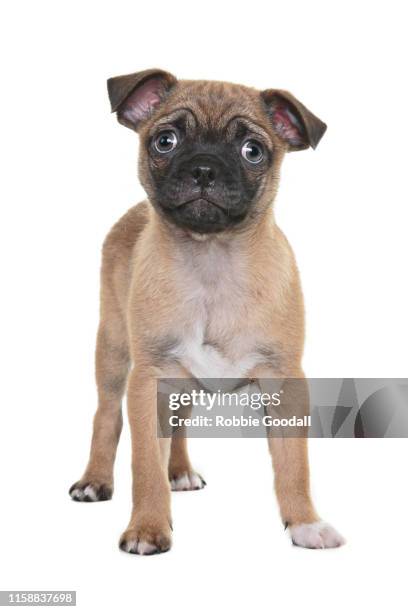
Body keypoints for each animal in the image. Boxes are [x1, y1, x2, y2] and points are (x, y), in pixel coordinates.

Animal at [69, 69, 344, 552]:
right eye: (165, 141)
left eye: (252, 151)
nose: (204, 168)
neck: (212, 261)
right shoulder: (149, 382)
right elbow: (145, 465)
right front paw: (147, 527)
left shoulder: (284, 382)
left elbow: (293, 463)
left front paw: (305, 522)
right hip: (114, 350)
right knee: (106, 415)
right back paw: (96, 480)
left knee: (179, 425)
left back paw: (179, 470)